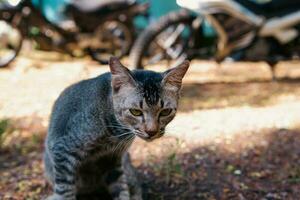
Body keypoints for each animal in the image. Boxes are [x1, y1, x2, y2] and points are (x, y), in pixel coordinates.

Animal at [44, 57, 190, 199]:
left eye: (165, 112)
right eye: (135, 112)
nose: (151, 131)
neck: (114, 134)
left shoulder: (113, 159)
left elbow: (121, 189)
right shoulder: (63, 149)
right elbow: (65, 192)